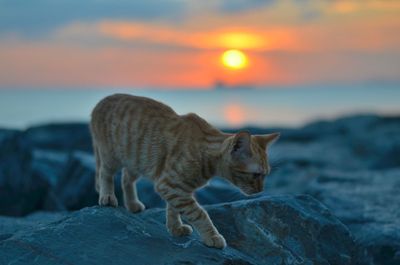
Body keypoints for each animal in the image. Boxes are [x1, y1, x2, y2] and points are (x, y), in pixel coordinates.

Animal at [89, 94, 280, 249]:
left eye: (266, 174)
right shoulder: (170, 185)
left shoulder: (175, 188)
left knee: (126, 179)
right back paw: (107, 197)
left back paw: (132, 204)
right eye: (256, 175)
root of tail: (101, 101)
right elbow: (199, 213)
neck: (207, 156)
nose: (260, 190)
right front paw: (212, 236)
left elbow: (174, 209)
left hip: (137, 161)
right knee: (105, 174)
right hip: (111, 156)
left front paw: (175, 228)